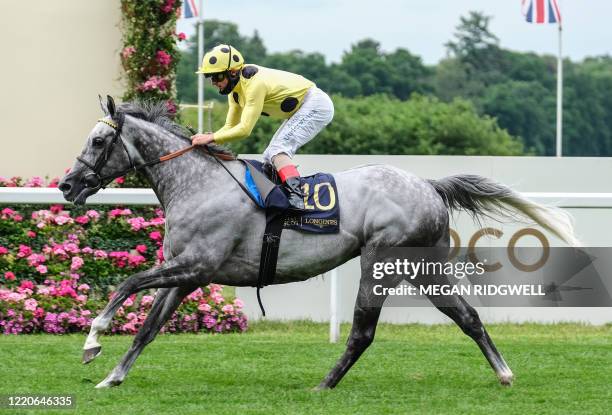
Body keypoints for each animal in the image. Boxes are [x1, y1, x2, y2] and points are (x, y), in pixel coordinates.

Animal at [59, 97, 580, 390]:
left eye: (99, 141)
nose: (67, 185)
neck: (198, 183)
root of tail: (429, 185)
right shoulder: (187, 274)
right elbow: (147, 328)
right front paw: (111, 377)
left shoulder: (196, 265)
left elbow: (126, 284)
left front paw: (92, 341)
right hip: (422, 268)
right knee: (467, 316)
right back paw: (504, 373)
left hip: (381, 259)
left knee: (363, 330)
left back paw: (325, 384)